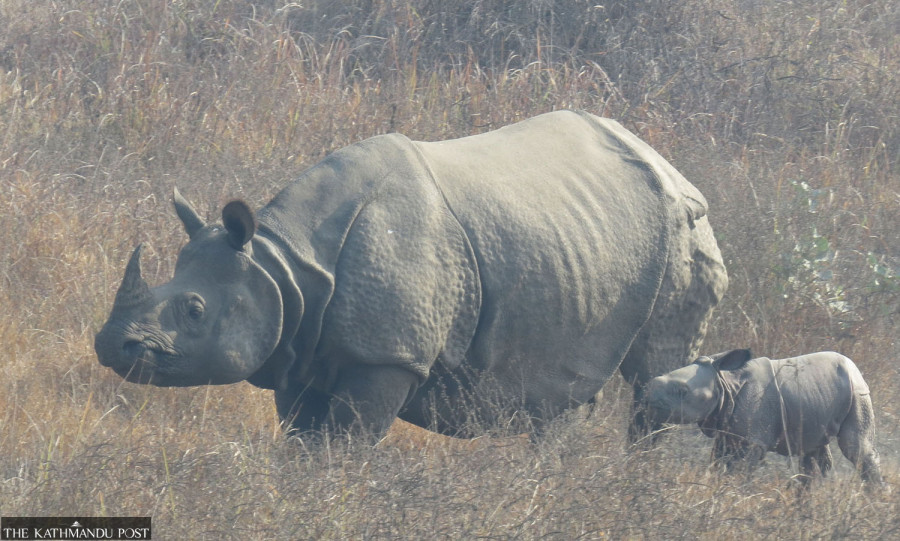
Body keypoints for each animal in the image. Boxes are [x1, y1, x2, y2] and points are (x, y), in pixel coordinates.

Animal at [95, 110, 727, 441]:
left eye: (194, 310)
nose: (110, 345)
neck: (285, 262)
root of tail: (675, 168)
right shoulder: (301, 345)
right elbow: (300, 437)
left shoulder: (389, 354)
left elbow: (346, 442)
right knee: (564, 391)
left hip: (684, 233)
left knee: (654, 373)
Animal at [645, 349, 883, 484]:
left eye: (682, 391)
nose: (648, 397)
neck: (724, 384)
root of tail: (855, 367)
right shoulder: (725, 433)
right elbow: (716, 465)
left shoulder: (753, 442)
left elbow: (739, 474)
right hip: (817, 395)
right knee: (814, 451)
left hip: (858, 391)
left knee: (855, 448)